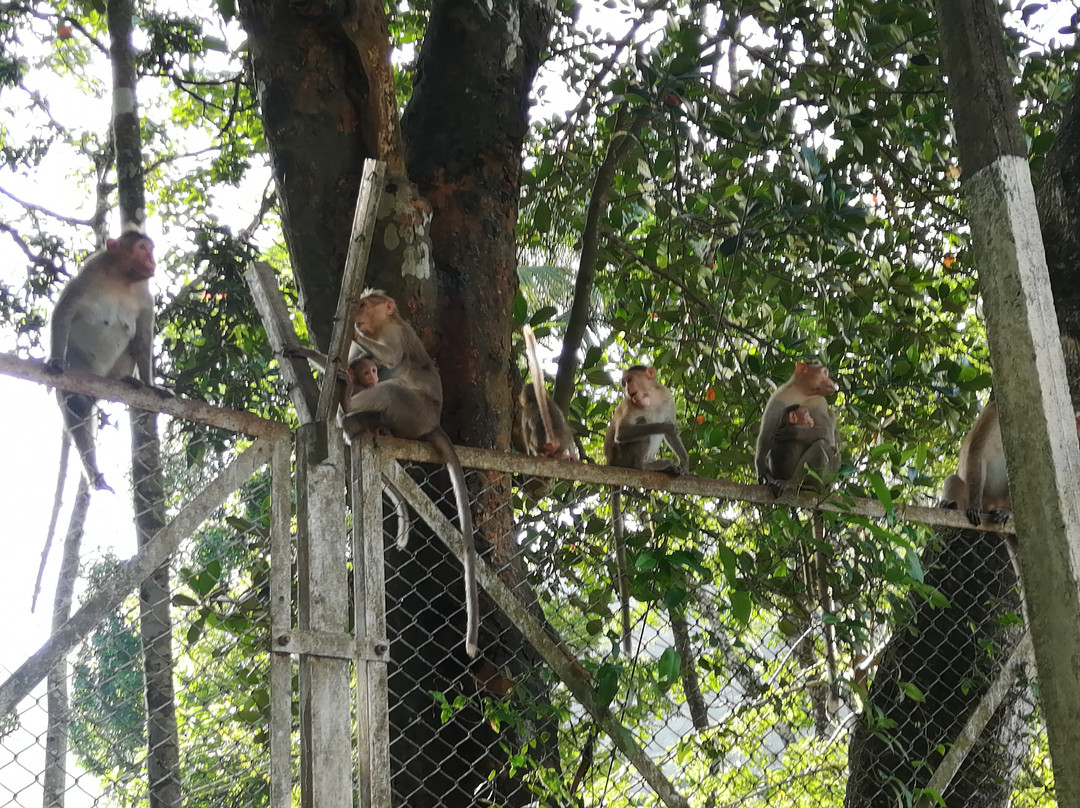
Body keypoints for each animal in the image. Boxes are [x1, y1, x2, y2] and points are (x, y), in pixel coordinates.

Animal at [332, 289, 477, 656]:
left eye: (364, 305)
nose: (357, 314)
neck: (382, 326)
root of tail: (433, 423)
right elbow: (359, 361)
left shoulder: (397, 334)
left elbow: (390, 356)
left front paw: (351, 333)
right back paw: (359, 422)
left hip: (414, 412)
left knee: (391, 389)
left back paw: (351, 407)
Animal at [518, 324, 578, 460]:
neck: (534, 400)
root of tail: (552, 439)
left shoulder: (525, 412)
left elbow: (525, 431)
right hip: (563, 441)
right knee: (568, 434)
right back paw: (568, 457)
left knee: (531, 441)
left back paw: (538, 453)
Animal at [604, 365, 686, 656]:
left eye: (629, 380)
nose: (627, 389)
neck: (651, 397)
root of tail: (610, 463)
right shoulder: (630, 407)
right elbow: (625, 431)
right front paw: (663, 425)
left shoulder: (668, 397)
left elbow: (671, 432)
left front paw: (686, 463)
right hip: (623, 457)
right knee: (641, 429)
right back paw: (646, 466)